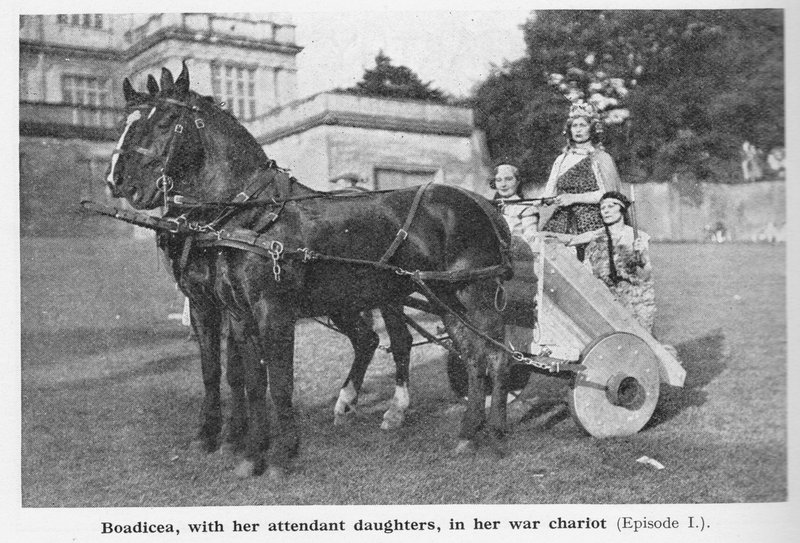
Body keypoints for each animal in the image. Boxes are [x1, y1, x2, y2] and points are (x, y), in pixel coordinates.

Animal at [106, 65, 512, 480]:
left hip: (471, 295)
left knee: (493, 356)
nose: (119, 182)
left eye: (166, 120)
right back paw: (466, 432)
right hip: (438, 297)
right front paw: (243, 450)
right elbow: (241, 379)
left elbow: (278, 383)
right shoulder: (229, 311)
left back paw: (493, 432)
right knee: (467, 356)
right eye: (123, 123)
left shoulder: (272, 311)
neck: (249, 215)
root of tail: (482, 203)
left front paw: (280, 454)